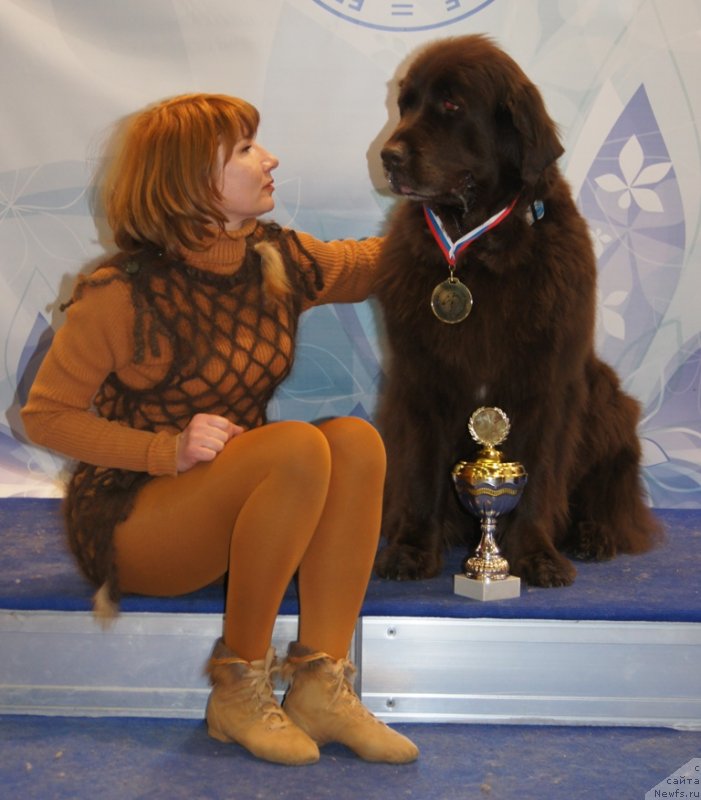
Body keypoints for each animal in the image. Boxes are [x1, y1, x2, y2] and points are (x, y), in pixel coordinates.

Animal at [372, 34, 660, 588]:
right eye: (405, 104)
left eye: (451, 104)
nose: (388, 156)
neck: (479, 254)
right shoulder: (421, 380)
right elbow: (420, 474)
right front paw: (411, 549)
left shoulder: (546, 383)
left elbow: (541, 473)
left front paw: (536, 556)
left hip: (606, 397)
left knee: (611, 498)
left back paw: (594, 535)